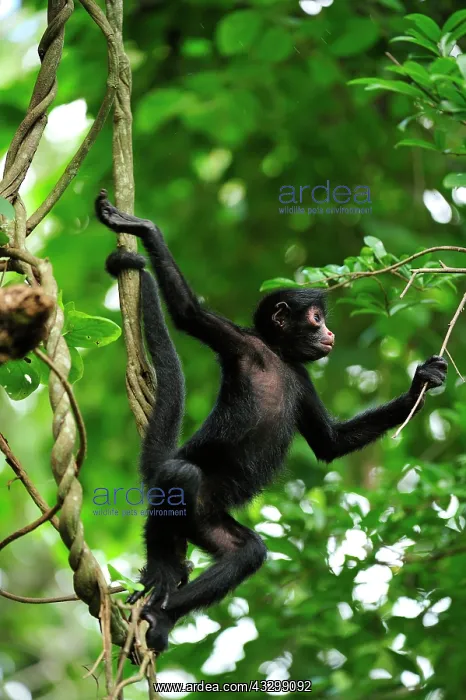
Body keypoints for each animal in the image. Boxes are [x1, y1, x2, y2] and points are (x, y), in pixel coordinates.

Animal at [95, 190, 447, 652]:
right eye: (316, 319)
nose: (330, 334)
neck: (277, 357)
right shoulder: (243, 344)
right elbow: (187, 313)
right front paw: (143, 228)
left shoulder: (300, 377)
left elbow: (330, 443)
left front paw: (422, 381)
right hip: (182, 495)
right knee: (179, 473)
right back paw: (160, 574)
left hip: (207, 520)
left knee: (248, 552)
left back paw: (165, 613)